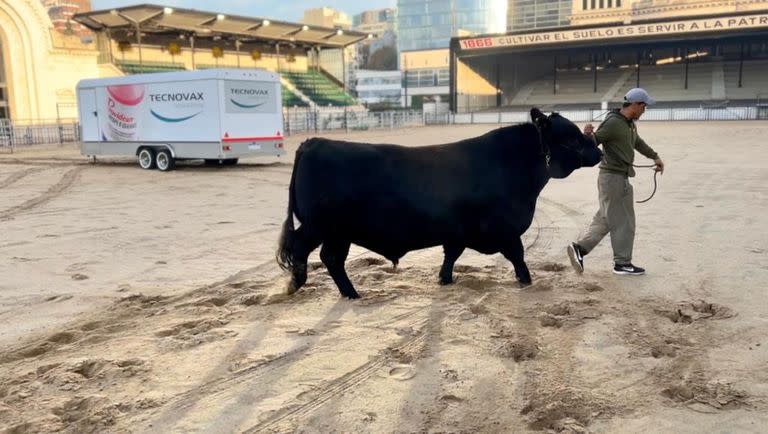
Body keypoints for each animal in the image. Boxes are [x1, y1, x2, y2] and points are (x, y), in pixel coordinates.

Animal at [280, 108, 604, 298]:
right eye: (573, 138)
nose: (598, 152)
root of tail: (313, 142)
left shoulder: (458, 230)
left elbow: (452, 254)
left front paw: (444, 279)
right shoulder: (505, 229)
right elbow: (518, 255)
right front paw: (526, 281)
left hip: (339, 232)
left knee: (331, 258)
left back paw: (349, 293)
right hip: (319, 226)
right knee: (301, 248)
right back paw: (298, 283)